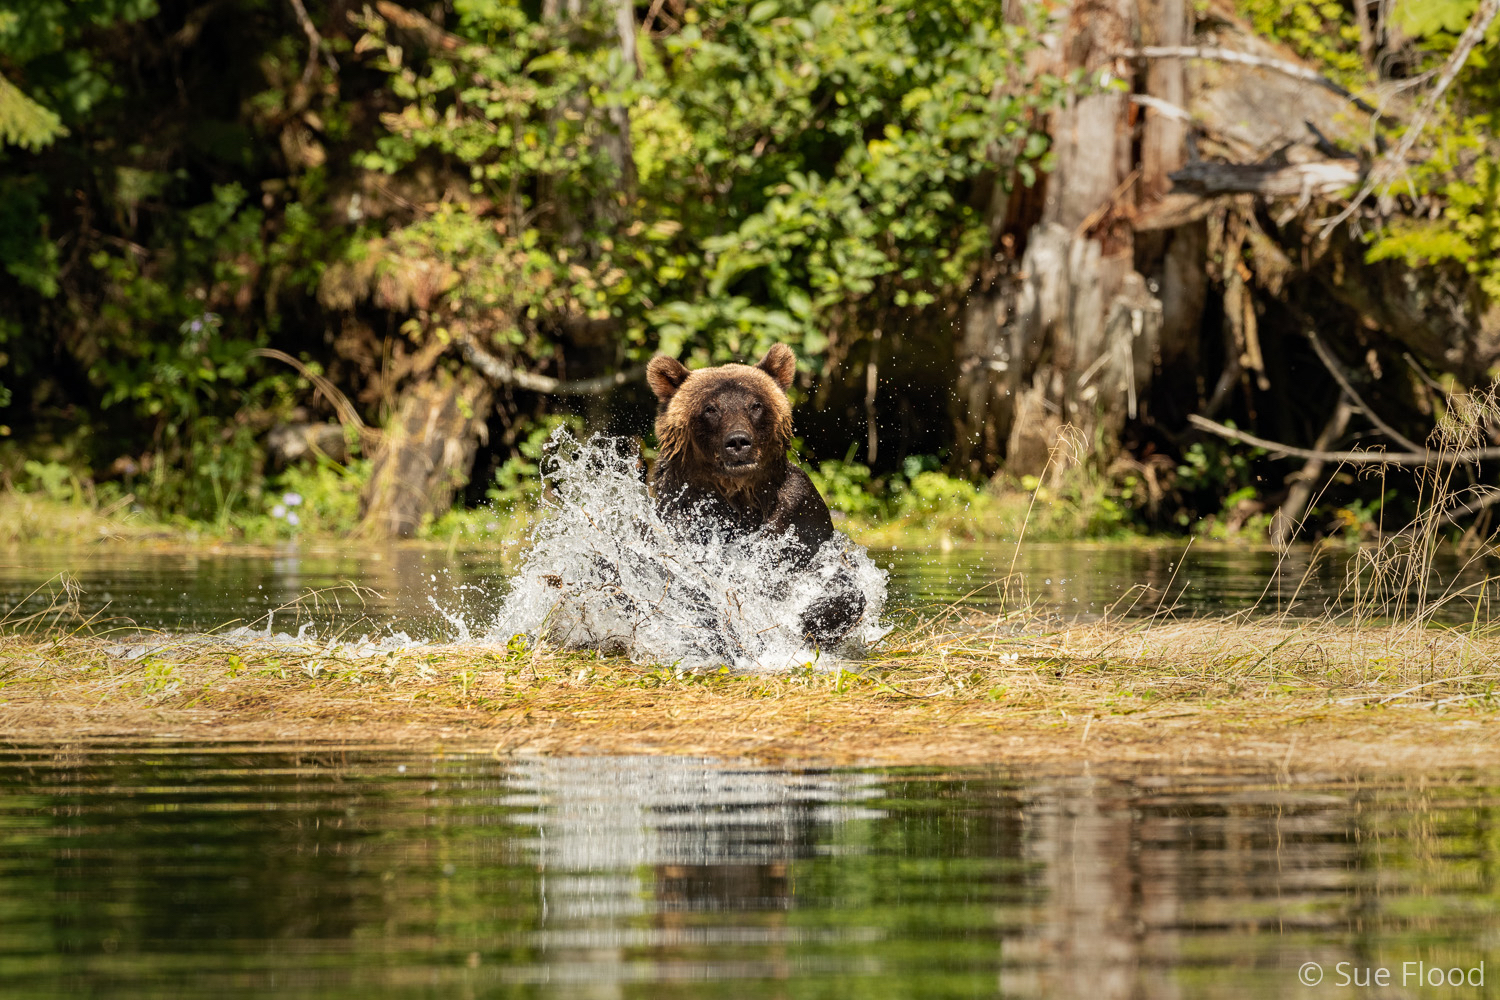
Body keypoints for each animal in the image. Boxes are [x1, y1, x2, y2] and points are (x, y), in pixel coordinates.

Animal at [645, 346, 870, 650]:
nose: (738, 441)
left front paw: (811, 619)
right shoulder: (682, 516)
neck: (740, 496)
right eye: (710, 408)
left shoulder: (799, 514)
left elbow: (832, 575)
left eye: (755, 405)